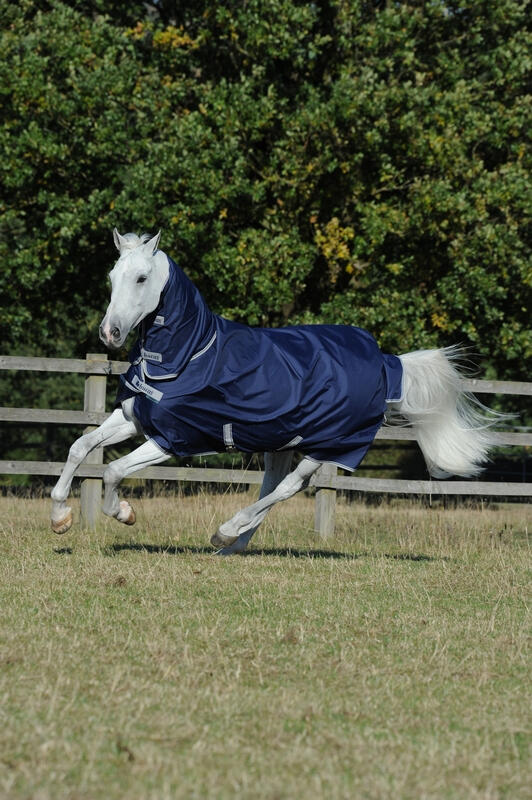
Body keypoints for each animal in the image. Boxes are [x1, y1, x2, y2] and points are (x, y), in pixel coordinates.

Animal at [51, 229, 497, 553]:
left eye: (141, 278)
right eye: (112, 277)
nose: (109, 333)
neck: (190, 353)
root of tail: (388, 363)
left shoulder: (173, 440)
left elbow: (113, 470)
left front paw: (123, 513)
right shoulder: (134, 418)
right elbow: (79, 446)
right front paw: (60, 518)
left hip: (328, 446)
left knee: (288, 488)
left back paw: (227, 530)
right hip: (281, 442)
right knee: (273, 488)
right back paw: (230, 544)